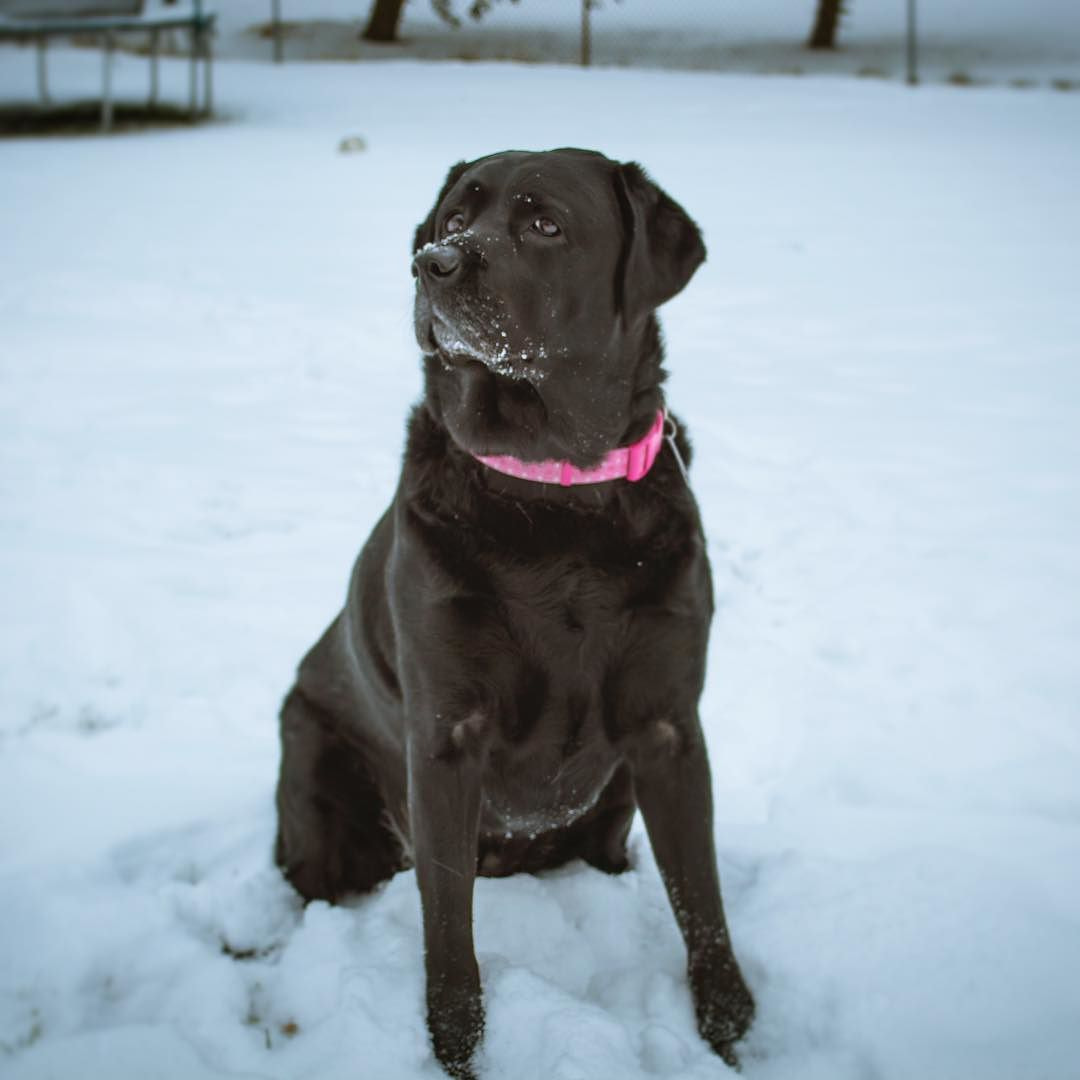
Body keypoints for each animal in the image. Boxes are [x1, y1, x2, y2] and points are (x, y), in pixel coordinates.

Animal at [274, 147, 756, 1075]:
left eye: (544, 224)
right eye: (454, 219)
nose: (432, 264)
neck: (554, 493)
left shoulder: (669, 725)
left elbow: (702, 895)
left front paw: (727, 1023)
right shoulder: (446, 737)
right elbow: (447, 928)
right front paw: (456, 1047)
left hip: (612, 809)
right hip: (314, 784)